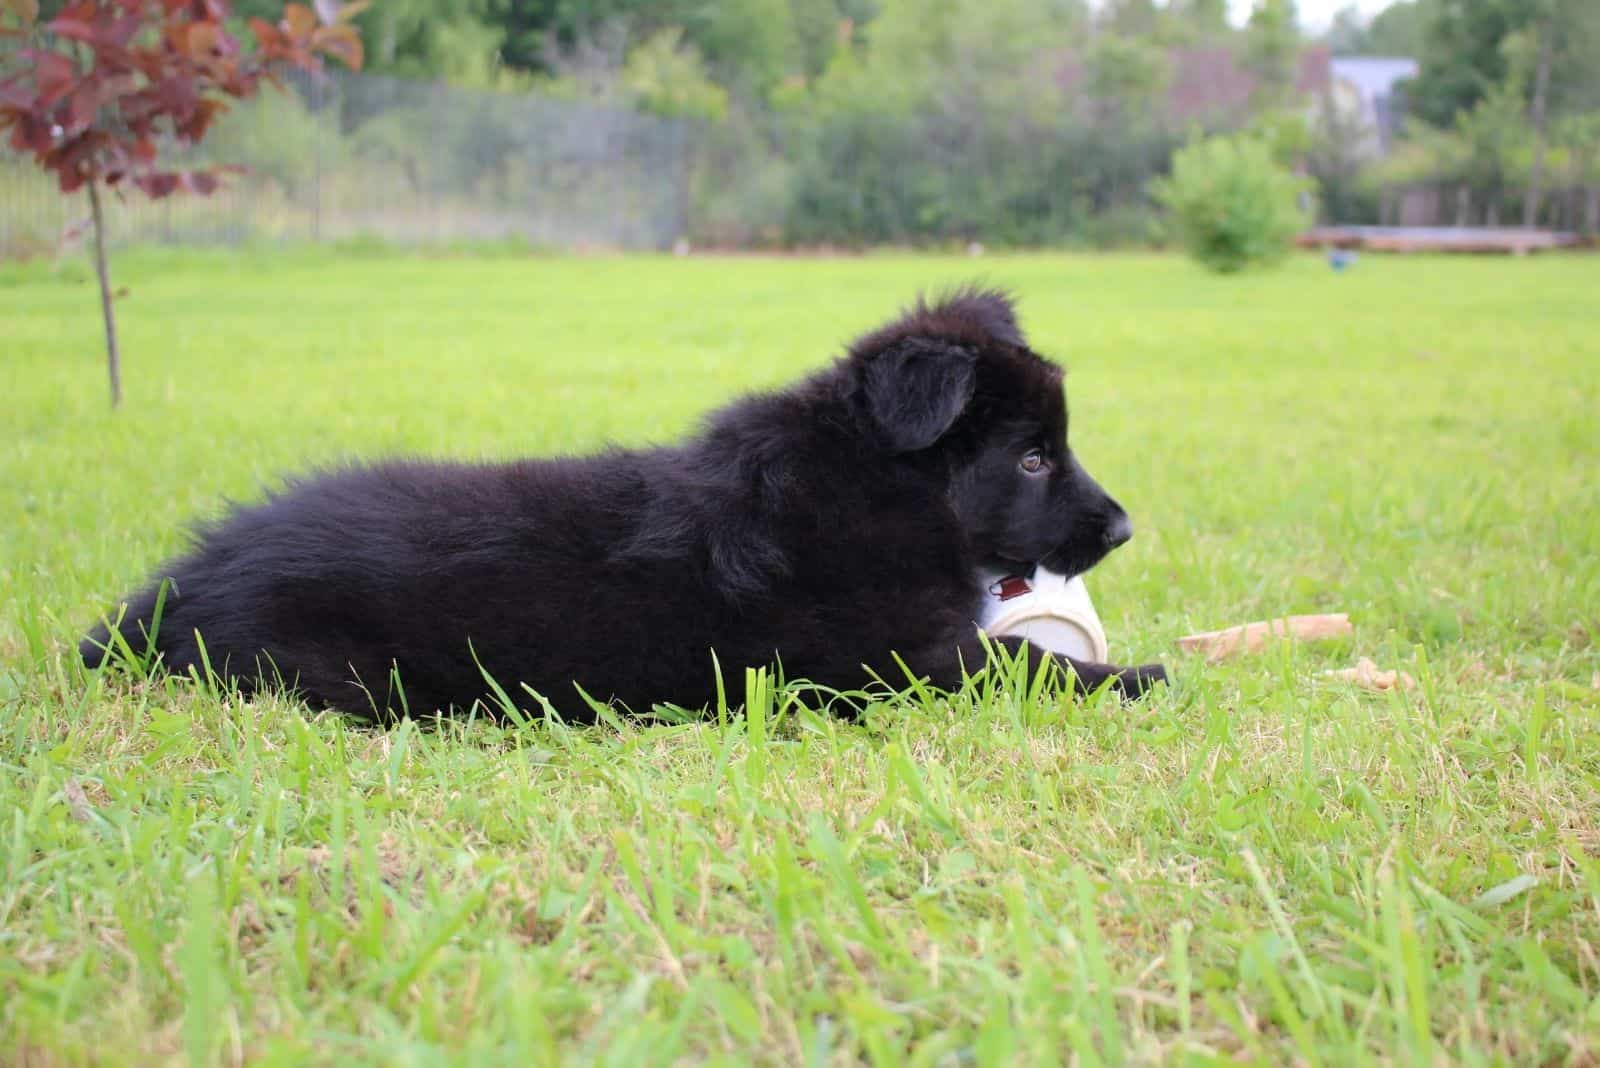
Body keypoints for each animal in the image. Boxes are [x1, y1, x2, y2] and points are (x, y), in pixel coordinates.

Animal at [81, 289, 1171, 716]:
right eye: (1031, 458)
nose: (1123, 528)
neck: (878, 484)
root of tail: (168, 595)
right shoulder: (879, 662)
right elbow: (1025, 661)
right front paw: (1137, 677)